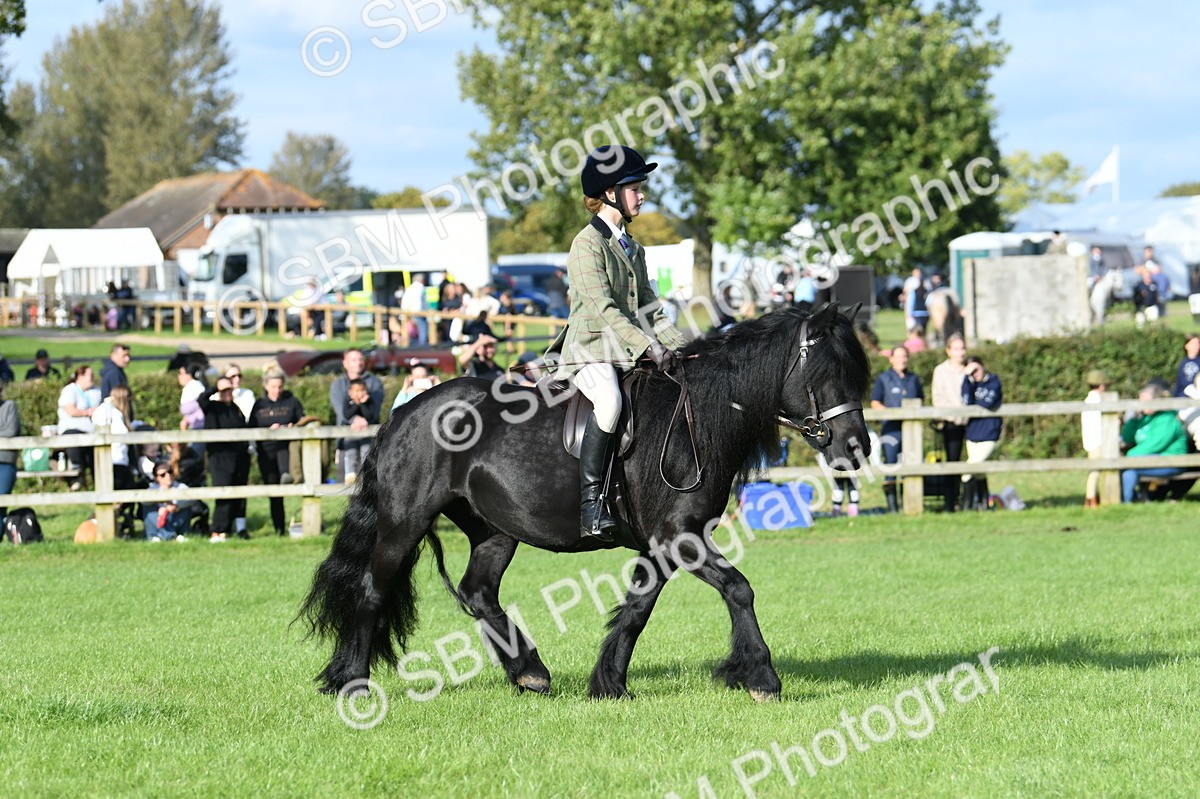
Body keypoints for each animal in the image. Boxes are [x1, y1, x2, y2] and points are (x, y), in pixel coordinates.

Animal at [299, 302, 872, 701]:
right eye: (826, 375)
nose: (856, 447)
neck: (697, 419)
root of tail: (405, 411)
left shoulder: (663, 544)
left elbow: (638, 608)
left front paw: (609, 682)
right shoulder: (680, 538)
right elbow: (739, 589)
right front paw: (760, 677)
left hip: (494, 531)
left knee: (478, 592)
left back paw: (529, 672)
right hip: (404, 523)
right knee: (373, 590)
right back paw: (351, 682)